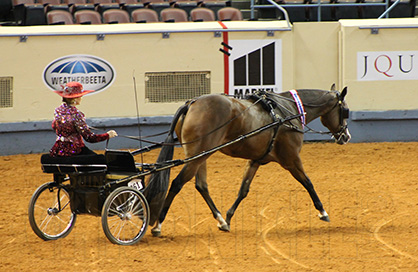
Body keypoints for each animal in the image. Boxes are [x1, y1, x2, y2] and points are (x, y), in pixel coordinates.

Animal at [142, 84, 352, 236]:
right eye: (346, 111)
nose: (346, 136)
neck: (288, 111)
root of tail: (191, 103)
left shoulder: (256, 160)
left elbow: (243, 190)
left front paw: (228, 218)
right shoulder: (291, 159)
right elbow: (308, 182)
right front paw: (322, 211)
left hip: (201, 155)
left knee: (201, 186)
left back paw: (220, 220)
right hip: (196, 156)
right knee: (177, 183)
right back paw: (158, 225)